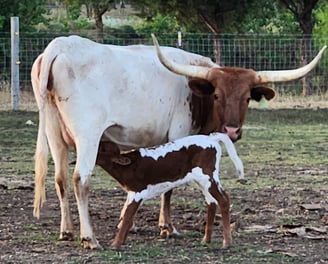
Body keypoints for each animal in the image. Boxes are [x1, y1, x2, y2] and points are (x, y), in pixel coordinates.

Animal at [95, 133, 243, 249]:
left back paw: (227, 242)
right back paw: (206, 240)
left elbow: (127, 216)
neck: (127, 167)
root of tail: (210, 138)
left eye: (102, 149)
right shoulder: (132, 193)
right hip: (201, 181)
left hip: (207, 176)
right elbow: (128, 215)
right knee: (211, 202)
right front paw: (121, 241)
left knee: (223, 199)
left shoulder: (138, 192)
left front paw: (116, 244)